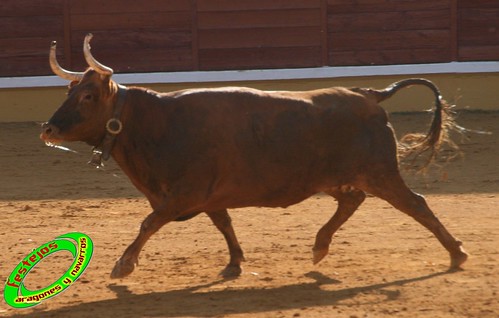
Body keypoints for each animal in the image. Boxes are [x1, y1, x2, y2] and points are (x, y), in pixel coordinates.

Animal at [40, 34, 468, 278]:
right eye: (69, 92)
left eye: (88, 96)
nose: (48, 129)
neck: (156, 123)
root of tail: (369, 95)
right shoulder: (208, 196)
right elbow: (224, 224)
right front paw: (234, 262)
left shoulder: (184, 193)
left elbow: (149, 223)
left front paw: (123, 264)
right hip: (331, 177)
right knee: (352, 200)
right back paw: (319, 246)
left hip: (380, 172)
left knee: (416, 204)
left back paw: (457, 253)